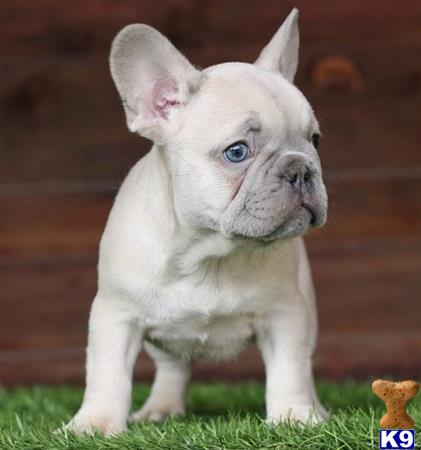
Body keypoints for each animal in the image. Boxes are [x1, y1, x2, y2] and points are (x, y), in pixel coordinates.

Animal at [66, 7, 328, 436]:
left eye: (315, 140)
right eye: (237, 152)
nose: (301, 169)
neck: (207, 252)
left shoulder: (285, 315)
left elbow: (290, 371)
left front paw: (293, 417)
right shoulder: (115, 315)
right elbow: (107, 376)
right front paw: (95, 425)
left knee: (305, 364)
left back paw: (317, 409)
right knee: (173, 368)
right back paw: (161, 408)